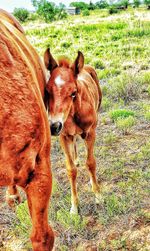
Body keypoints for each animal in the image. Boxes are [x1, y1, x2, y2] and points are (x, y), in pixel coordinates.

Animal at [43, 48, 102, 214]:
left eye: (73, 92)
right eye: (47, 91)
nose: (54, 126)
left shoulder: (90, 133)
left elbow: (91, 163)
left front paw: (98, 196)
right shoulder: (64, 136)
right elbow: (71, 170)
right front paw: (74, 207)